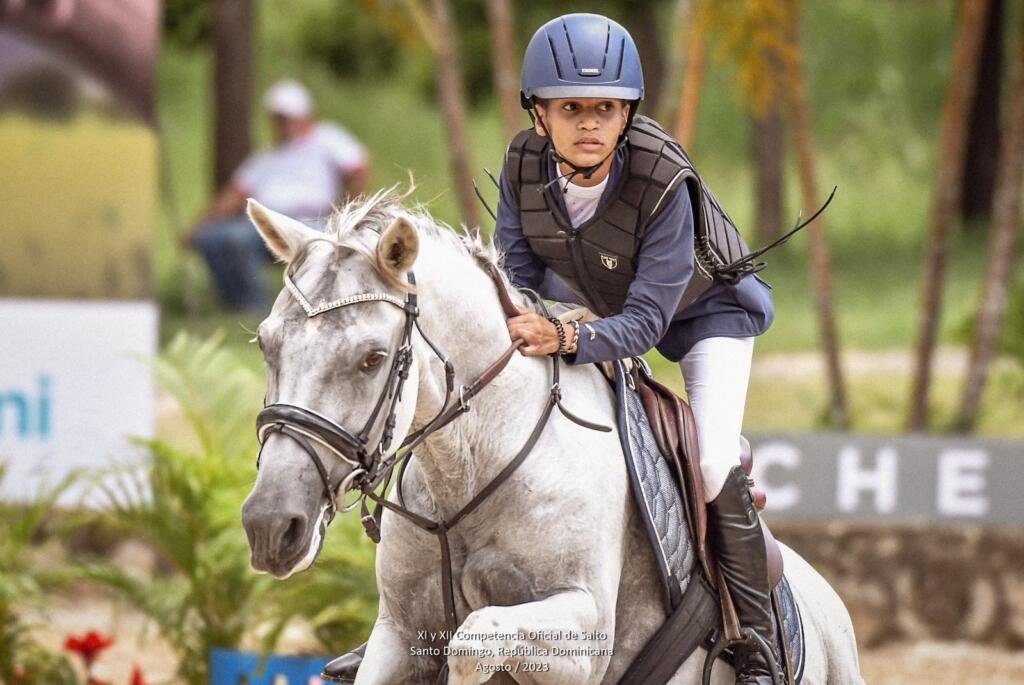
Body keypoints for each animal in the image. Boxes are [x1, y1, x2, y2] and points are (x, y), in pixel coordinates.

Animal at [239, 189, 864, 679]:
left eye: (372, 358)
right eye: (266, 344)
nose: (271, 526)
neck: (471, 474)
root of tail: (832, 611)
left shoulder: (582, 637)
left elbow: (474, 640)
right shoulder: (398, 633)